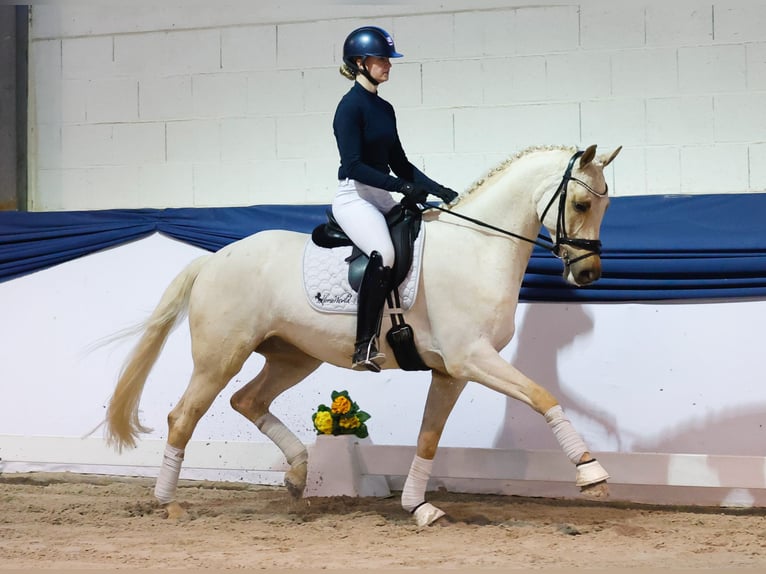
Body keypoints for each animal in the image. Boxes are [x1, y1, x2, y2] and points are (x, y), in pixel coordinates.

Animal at [105, 143, 622, 526]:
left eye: (606, 204)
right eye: (580, 203)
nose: (590, 275)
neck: (477, 249)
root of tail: (213, 259)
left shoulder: (452, 372)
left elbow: (429, 437)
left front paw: (419, 507)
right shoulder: (471, 358)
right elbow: (542, 395)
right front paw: (591, 473)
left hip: (293, 356)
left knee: (248, 400)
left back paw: (298, 474)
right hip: (220, 357)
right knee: (183, 416)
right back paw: (169, 503)